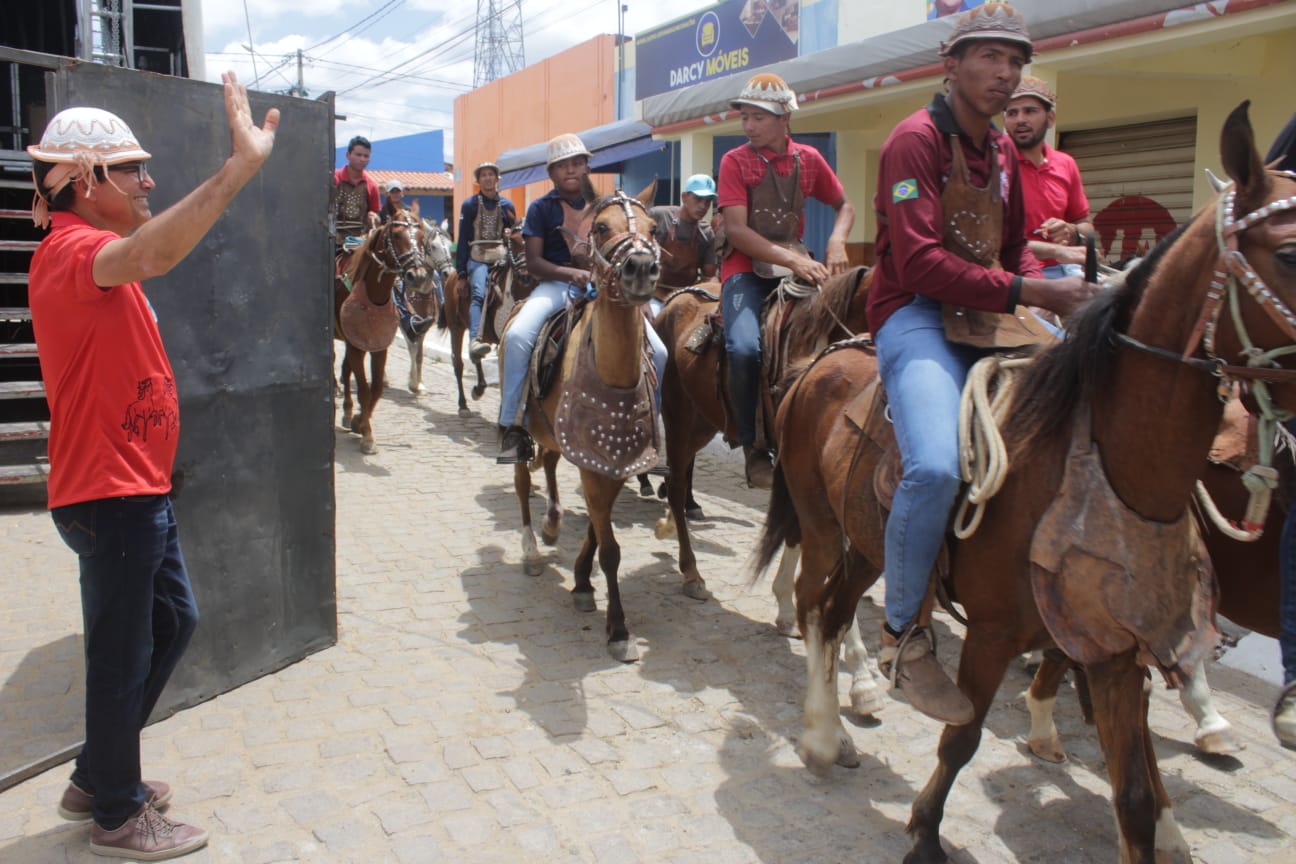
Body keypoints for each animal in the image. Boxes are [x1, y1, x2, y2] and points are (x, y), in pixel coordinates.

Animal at [334, 207, 430, 455]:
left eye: (421, 237)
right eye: (396, 235)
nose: (418, 276)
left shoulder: (378, 347)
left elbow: (376, 389)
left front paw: (359, 421)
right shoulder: (356, 347)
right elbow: (364, 389)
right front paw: (367, 436)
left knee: (346, 370)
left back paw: (348, 412)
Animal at [508, 181, 663, 663]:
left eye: (654, 228)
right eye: (601, 227)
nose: (640, 268)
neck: (614, 372)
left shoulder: (612, 462)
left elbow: (599, 528)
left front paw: (580, 581)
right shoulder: (594, 465)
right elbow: (609, 547)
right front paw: (618, 629)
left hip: (553, 437)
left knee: (549, 465)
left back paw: (553, 523)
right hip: (519, 428)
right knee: (523, 480)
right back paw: (531, 550)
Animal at [751, 102, 1296, 864]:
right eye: (1291, 251)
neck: (1104, 469)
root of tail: (821, 361)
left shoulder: (1115, 651)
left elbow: (1133, 789)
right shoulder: (995, 631)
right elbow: (962, 736)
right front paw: (925, 831)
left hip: (872, 543)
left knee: (833, 612)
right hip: (825, 527)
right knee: (811, 606)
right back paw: (826, 732)